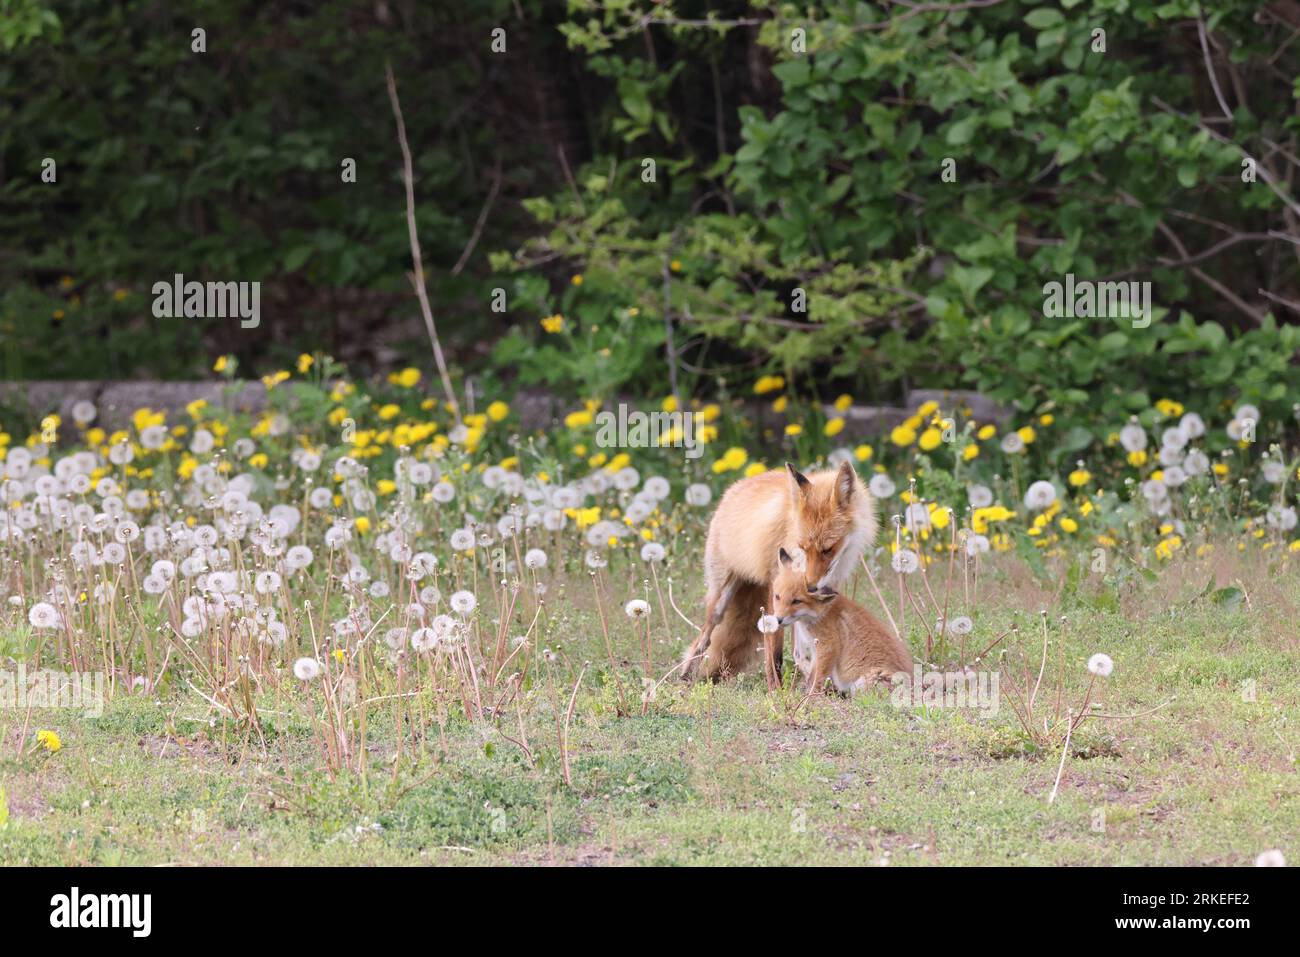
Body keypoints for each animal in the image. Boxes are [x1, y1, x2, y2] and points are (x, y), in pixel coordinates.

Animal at [681, 460, 877, 687]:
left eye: (827, 549)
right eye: (803, 547)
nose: (811, 586)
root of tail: (733, 488)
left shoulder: (821, 593)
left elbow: (807, 648)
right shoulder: (778, 586)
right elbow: (774, 653)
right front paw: (776, 690)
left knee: (798, 651)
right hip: (720, 599)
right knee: (703, 639)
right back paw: (684, 677)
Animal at [770, 546, 913, 695]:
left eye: (796, 601)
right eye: (777, 596)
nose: (778, 620)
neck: (821, 613)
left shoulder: (828, 645)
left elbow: (817, 678)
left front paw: (811, 695)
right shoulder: (816, 651)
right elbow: (811, 674)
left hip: (864, 683)